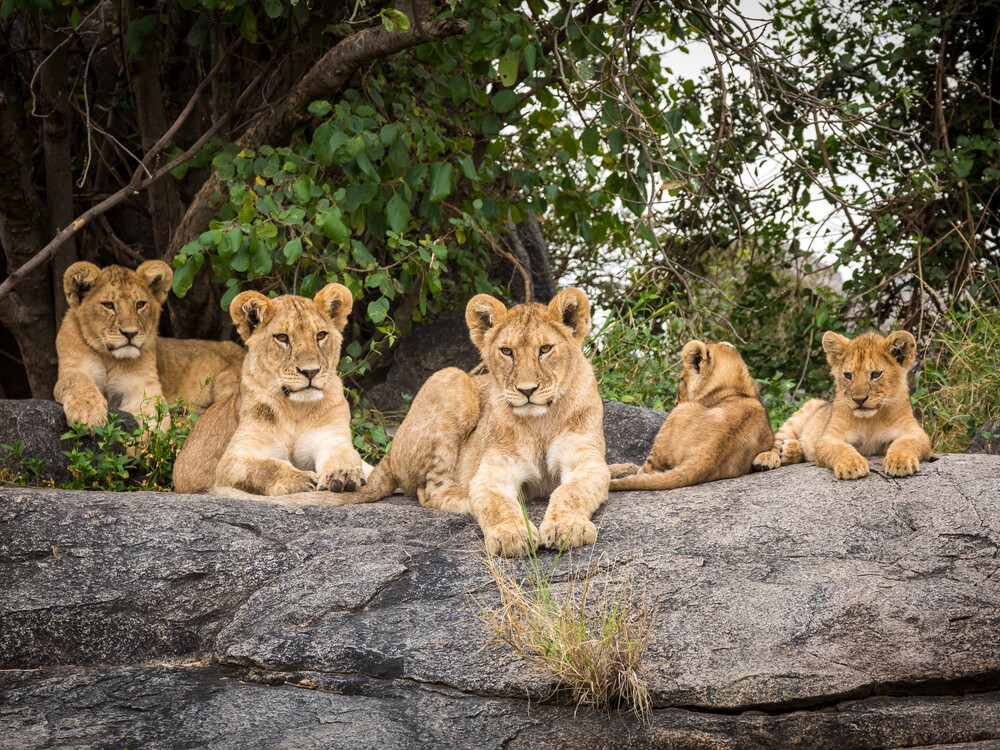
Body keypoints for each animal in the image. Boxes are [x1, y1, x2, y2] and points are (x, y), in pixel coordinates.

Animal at [54, 261, 244, 428]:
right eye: (108, 305)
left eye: (140, 304)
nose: (130, 333)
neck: (109, 357)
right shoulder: (74, 368)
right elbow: (77, 383)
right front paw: (87, 412)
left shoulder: (142, 383)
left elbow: (151, 412)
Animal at [172, 284, 370, 498]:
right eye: (282, 337)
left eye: (320, 335)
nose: (311, 371)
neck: (296, 410)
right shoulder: (232, 461)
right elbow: (266, 467)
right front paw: (300, 479)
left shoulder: (333, 439)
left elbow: (345, 456)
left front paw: (343, 475)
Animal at [335, 288, 610, 557]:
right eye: (507, 351)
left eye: (545, 349)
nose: (527, 390)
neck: (541, 421)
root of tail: (390, 453)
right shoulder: (494, 471)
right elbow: (496, 502)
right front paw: (510, 534)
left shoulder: (588, 462)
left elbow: (572, 491)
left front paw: (567, 526)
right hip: (454, 379)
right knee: (432, 489)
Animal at [608, 340, 779, 492]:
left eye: (681, 379)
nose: (676, 400)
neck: (738, 390)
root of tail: (704, 456)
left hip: (675, 417)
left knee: (646, 471)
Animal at [774, 330, 932, 479]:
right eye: (848, 375)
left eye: (876, 374)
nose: (859, 400)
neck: (870, 420)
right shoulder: (828, 436)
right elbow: (839, 448)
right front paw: (851, 465)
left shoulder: (916, 431)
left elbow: (905, 442)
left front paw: (899, 461)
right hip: (805, 410)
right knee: (776, 443)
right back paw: (775, 456)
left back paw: (789, 450)